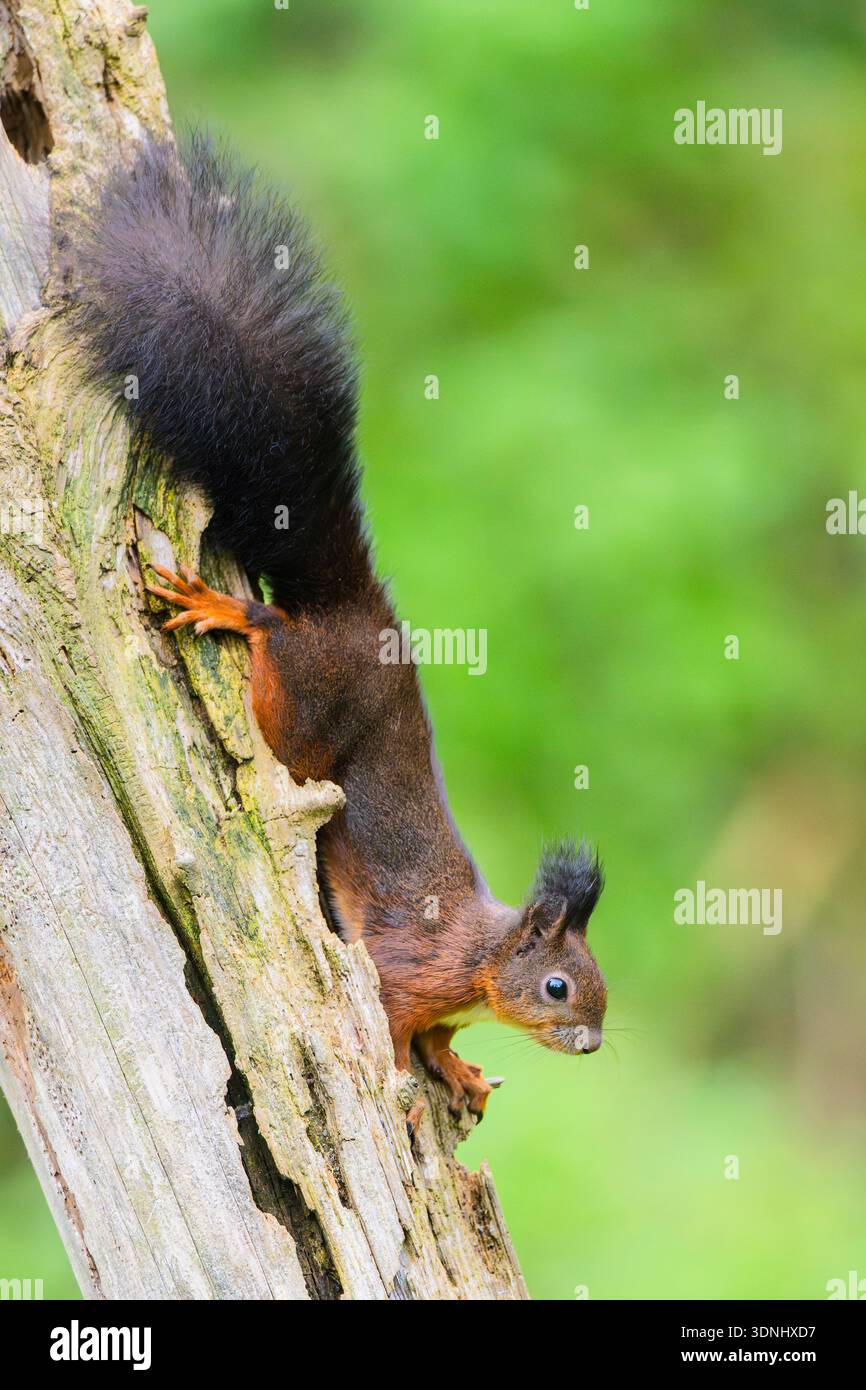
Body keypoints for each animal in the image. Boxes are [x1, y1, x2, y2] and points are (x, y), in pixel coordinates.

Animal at [74, 135, 607, 1131]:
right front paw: (406, 1081)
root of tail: (364, 614)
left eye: (602, 988)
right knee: (274, 644)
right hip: (307, 707)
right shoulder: (408, 968)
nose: (592, 1045)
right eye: (558, 987)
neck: (479, 959)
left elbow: (439, 1040)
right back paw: (230, 611)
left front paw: (457, 1070)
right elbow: (397, 1025)